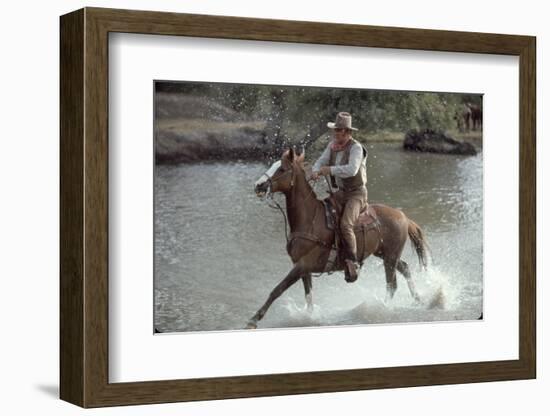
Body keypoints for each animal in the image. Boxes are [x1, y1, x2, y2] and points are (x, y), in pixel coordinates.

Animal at [247, 149, 432, 328]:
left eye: (282, 169)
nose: (258, 185)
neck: (310, 219)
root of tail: (403, 216)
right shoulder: (303, 268)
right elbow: (309, 297)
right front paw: (309, 317)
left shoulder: (301, 266)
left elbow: (277, 290)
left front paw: (254, 319)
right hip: (385, 254)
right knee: (405, 269)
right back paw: (417, 300)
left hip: (390, 257)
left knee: (392, 284)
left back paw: (383, 307)